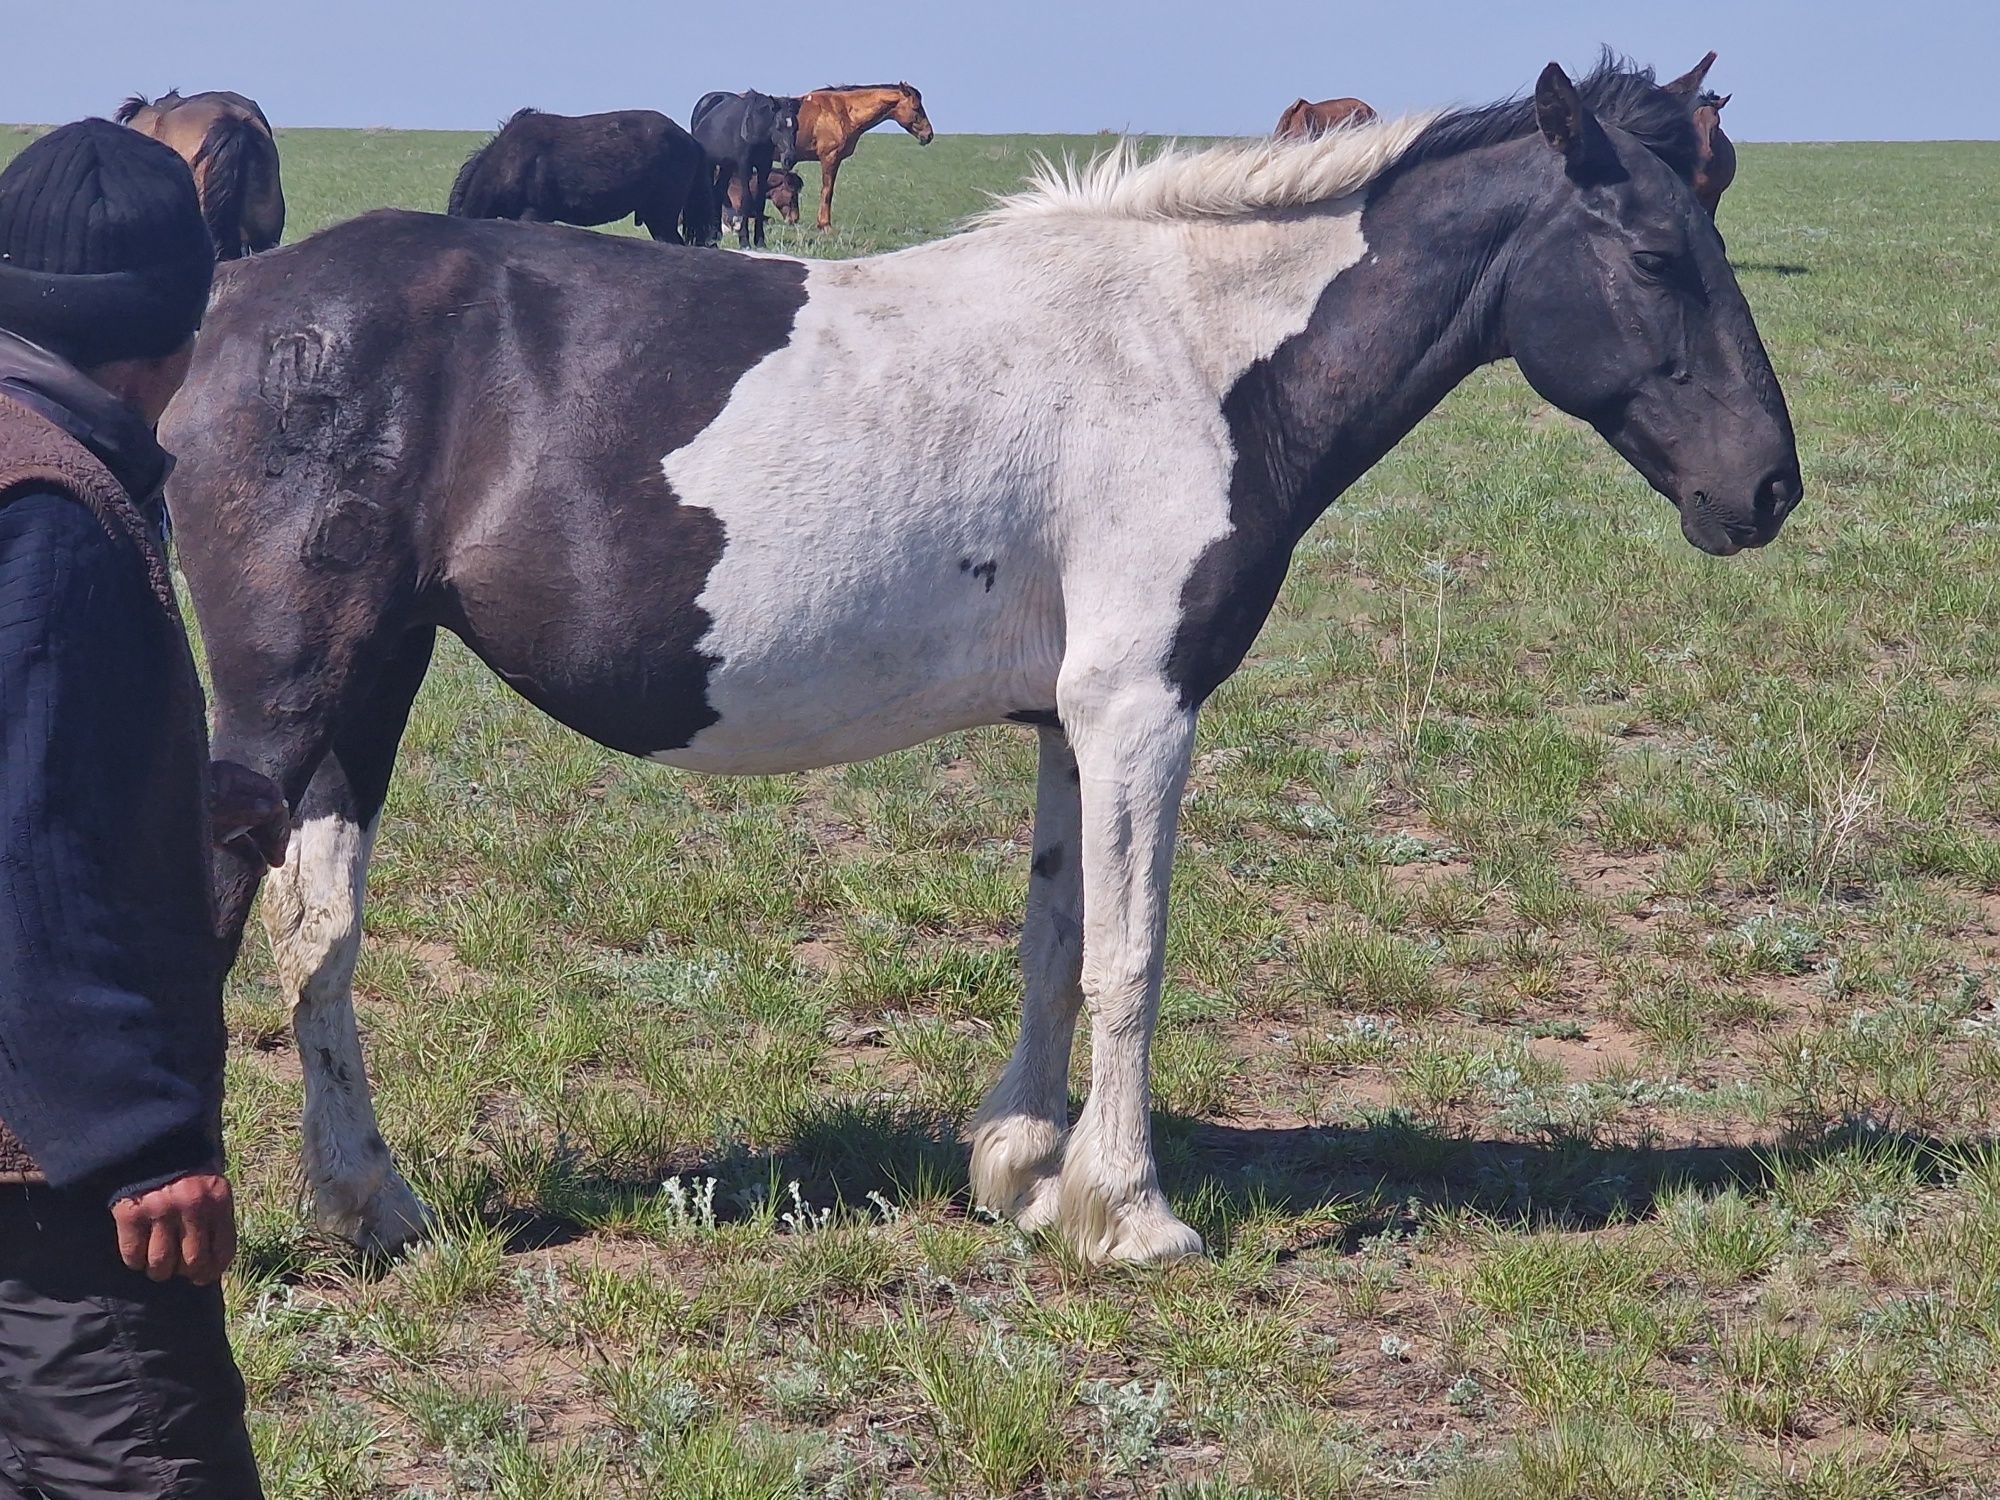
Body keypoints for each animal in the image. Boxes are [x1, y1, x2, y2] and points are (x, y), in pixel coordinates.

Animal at [692, 90, 800, 248]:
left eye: (796, 127)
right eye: (778, 127)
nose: (789, 159)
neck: (752, 128)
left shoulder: (764, 167)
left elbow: (760, 202)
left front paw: (760, 241)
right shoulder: (744, 167)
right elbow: (746, 201)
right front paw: (744, 240)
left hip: (727, 166)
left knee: (718, 193)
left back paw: (717, 234)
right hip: (711, 164)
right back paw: (712, 235)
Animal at [792, 84, 932, 232]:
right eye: (916, 107)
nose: (928, 134)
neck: (841, 112)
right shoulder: (830, 158)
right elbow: (827, 191)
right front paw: (825, 224)